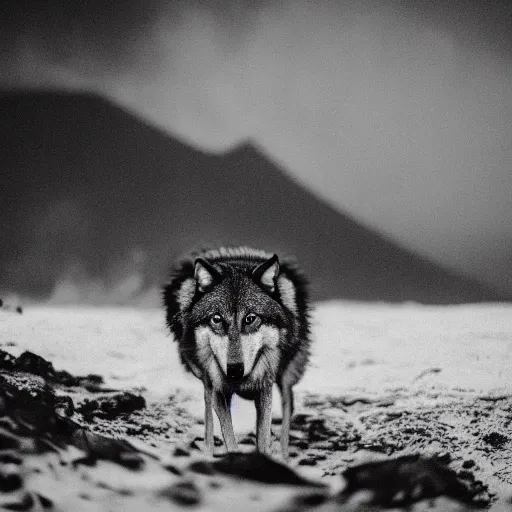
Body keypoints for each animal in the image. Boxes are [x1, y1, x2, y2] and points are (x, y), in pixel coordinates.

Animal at [163, 246, 312, 458]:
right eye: (217, 319)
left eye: (250, 319)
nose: (234, 369)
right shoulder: (218, 390)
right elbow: (229, 435)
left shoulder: (265, 387)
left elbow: (263, 437)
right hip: (206, 381)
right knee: (208, 415)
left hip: (286, 378)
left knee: (286, 411)